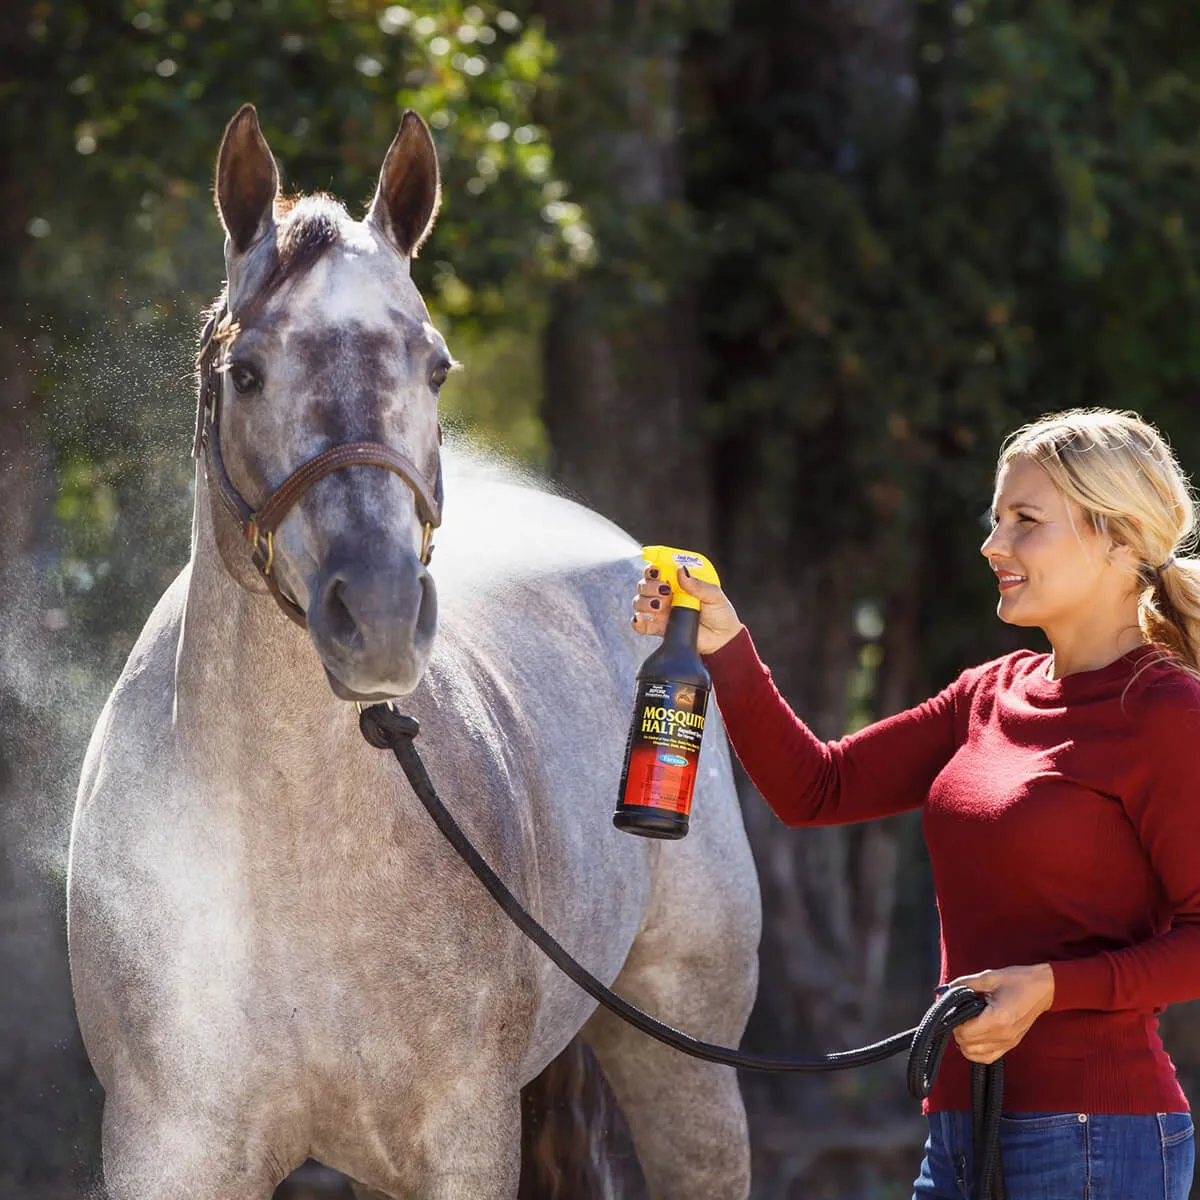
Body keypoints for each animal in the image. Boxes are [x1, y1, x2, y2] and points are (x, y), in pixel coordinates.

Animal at [66, 104, 762, 1200]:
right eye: (245, 373)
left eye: (435, 366)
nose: (383, 613)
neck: (290, 850)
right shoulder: (170, 1148)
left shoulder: (460, 1142)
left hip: (685, 1065)